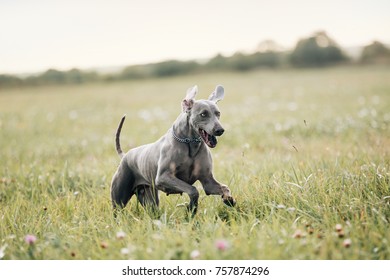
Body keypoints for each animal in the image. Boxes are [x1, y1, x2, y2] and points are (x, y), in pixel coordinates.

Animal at [111, 85, 236, 214]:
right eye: (203, 114)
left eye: (218, 113)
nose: (220, 130)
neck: (190, 145)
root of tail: (125, 155)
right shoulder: (163, 178)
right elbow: (193, 189)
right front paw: (191, 208)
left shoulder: (208, 182)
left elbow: (225, 188)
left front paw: (228, 200)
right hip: (119, 200)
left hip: (149, 199)